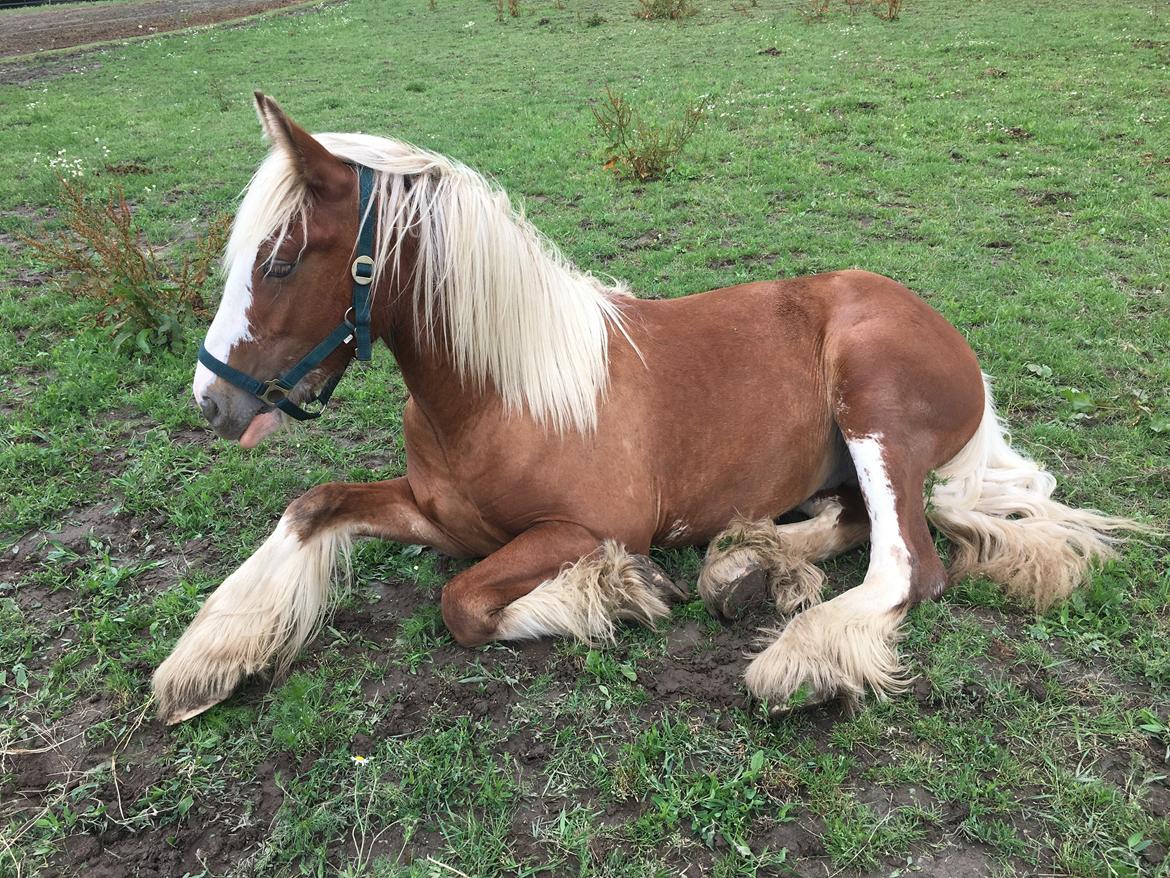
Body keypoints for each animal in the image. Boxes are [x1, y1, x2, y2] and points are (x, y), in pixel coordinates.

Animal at [148, 94, 1141, 730]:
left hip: (871, 399)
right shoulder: (435, 512)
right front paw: (206, 659)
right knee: (859, 519)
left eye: (279, 261)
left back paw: (798, 655)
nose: (210, 400)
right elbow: (312, 506)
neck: (501, 393)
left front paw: (612, 594)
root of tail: (953, 343)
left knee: (909, 561)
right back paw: (746, 565)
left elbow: (463, 605)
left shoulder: (586, 526)